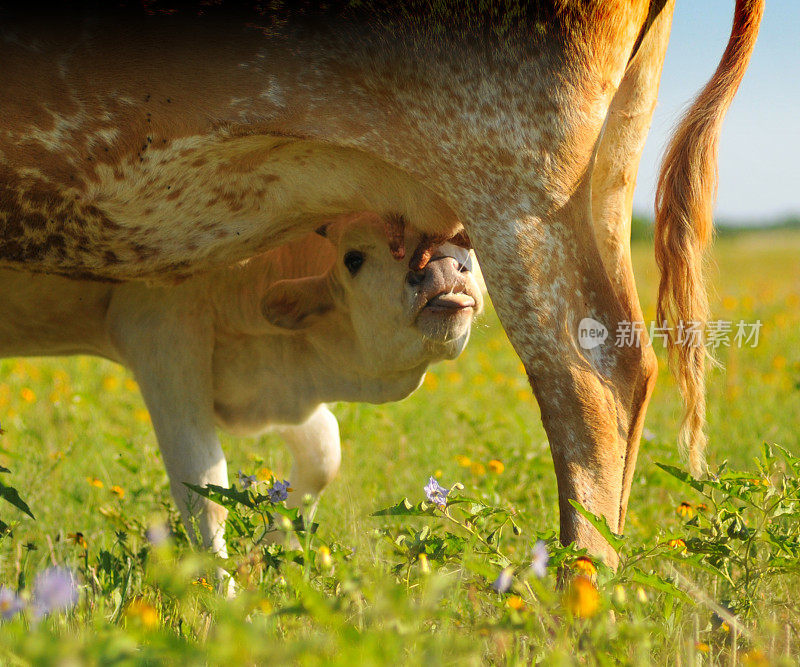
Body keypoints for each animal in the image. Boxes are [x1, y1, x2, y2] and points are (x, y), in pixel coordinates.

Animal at [0, 215, 482, 560]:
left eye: (466, 243)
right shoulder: (157, 328)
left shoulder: (273, 382)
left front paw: (270, 550)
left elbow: (324, 454)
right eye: (353, 258)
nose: (443, 269)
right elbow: (203, 487)